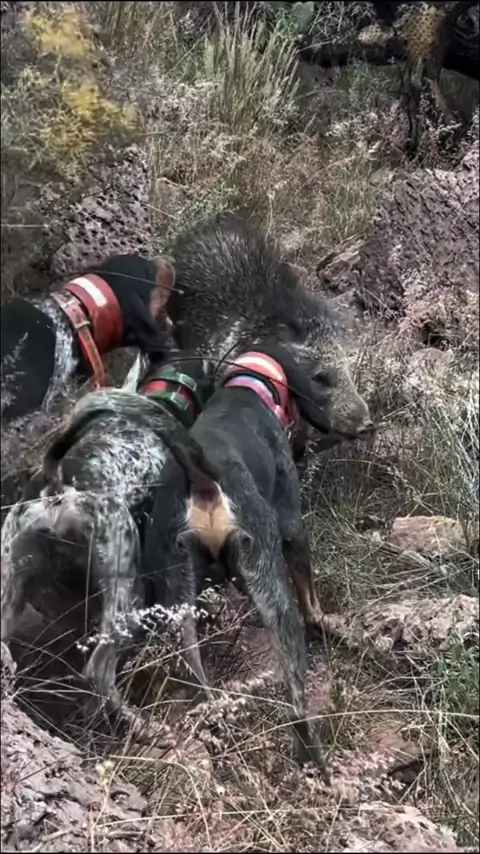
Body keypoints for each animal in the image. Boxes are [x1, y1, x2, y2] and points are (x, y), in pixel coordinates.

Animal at [141, 341, 333, 779]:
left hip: (178, 602)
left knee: (198, 686)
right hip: (271, 585)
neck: (246, 390)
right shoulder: (291, 527)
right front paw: (321, 621)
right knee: (296, 701)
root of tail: (201, 474)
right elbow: (309, 594)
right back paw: (313, 761)